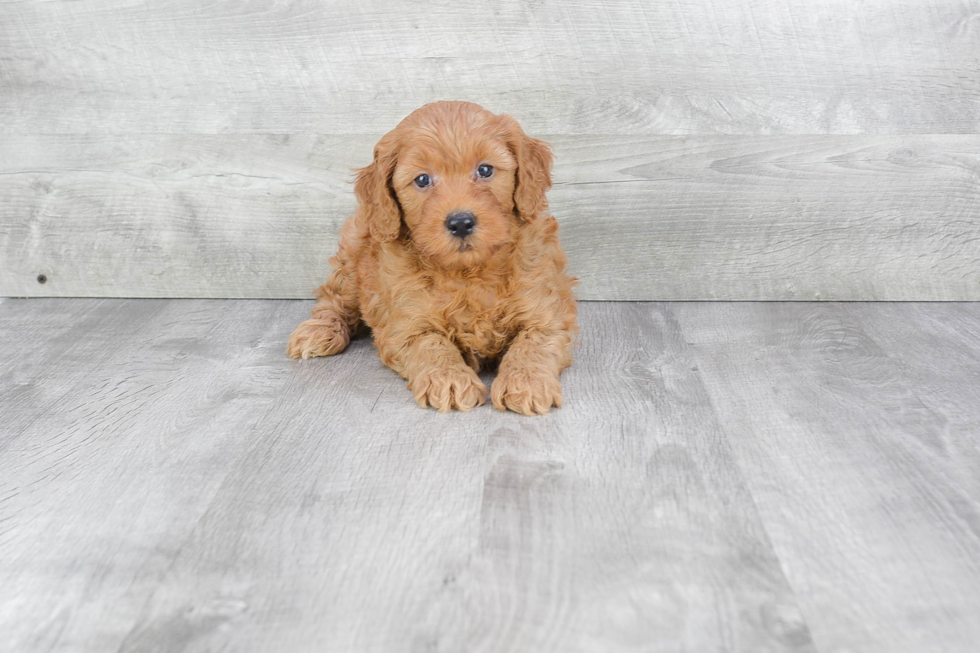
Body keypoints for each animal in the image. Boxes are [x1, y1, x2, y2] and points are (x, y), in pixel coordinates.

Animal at [286, 103, 576, 418]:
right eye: (423, 180)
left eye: (485, 170)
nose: (460, 222)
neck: (467, 272)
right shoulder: (405, 324)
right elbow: (430, 343)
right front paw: (449, 380)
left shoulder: (546, 311)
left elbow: (534, 342)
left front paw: (525, 382)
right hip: (351, 257)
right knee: (334, 300)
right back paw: (319, 332)